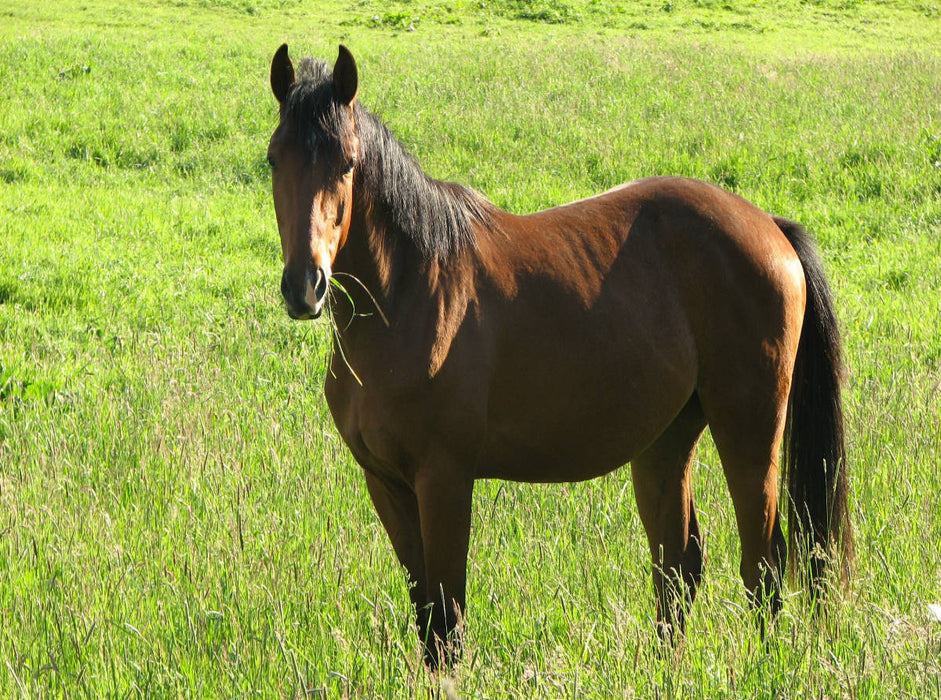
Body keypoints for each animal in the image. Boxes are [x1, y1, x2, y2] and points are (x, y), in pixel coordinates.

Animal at [266, 44, 853, 668]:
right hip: (666, 440)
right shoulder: (385, 482)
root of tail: (771, 228)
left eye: (348, 164)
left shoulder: (444, 478)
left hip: (749, 430)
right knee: (679, 567)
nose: (305, 286)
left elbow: (448, 617)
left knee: (762, 562)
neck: (409, 294)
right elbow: (427, 616)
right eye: (275, 160)